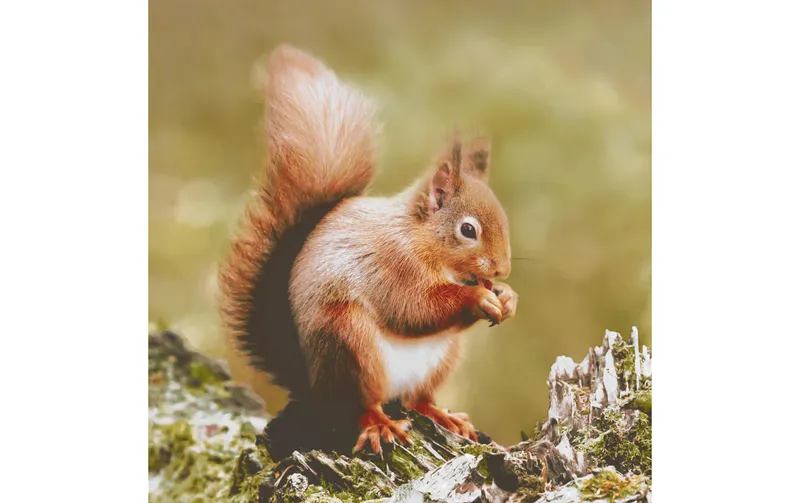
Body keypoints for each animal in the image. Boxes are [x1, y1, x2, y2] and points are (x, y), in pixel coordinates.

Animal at [218, 45, 518, 456]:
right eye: (467, 229)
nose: (502, 269)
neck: (420, 238)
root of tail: (315, 386)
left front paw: (507, 297)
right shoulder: (391, 265)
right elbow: (413, 308)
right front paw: (476, 297)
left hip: (442, 357)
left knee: (418, 399)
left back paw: (446, 417)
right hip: (350, 343)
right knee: (363, 404)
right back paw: (381, 425)